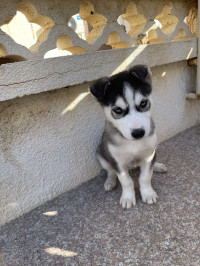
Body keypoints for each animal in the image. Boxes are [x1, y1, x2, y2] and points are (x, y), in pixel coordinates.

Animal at [90, 64, 166, 208]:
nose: (138, 133)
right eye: (118, 110)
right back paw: (110, 182)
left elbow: (145, 177)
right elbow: (126, 180)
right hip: (101, 154)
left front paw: (148, 193)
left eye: (143, 103)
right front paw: (128, 198)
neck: (133, 143)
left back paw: (157, 166)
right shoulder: (117, 161)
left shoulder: (148, 154)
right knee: (110, 171)